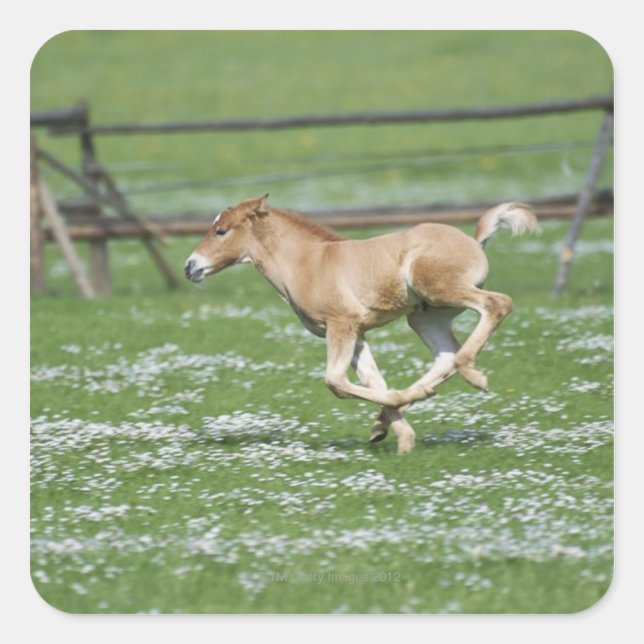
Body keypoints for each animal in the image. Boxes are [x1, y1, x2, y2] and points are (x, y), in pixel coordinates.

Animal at [184, 194, 539, 453]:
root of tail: (474, 241)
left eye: (221, 231)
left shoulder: (341, 324)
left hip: (440, 290)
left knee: (496, 305)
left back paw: (474, 375)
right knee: (445, 356)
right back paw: (413, 398)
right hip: (425, 316)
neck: (307, 263)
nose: (190, 267)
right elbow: (373, 381)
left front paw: (397, 416)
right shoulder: (356, 332)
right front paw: (400, 439)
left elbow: (336, 382)